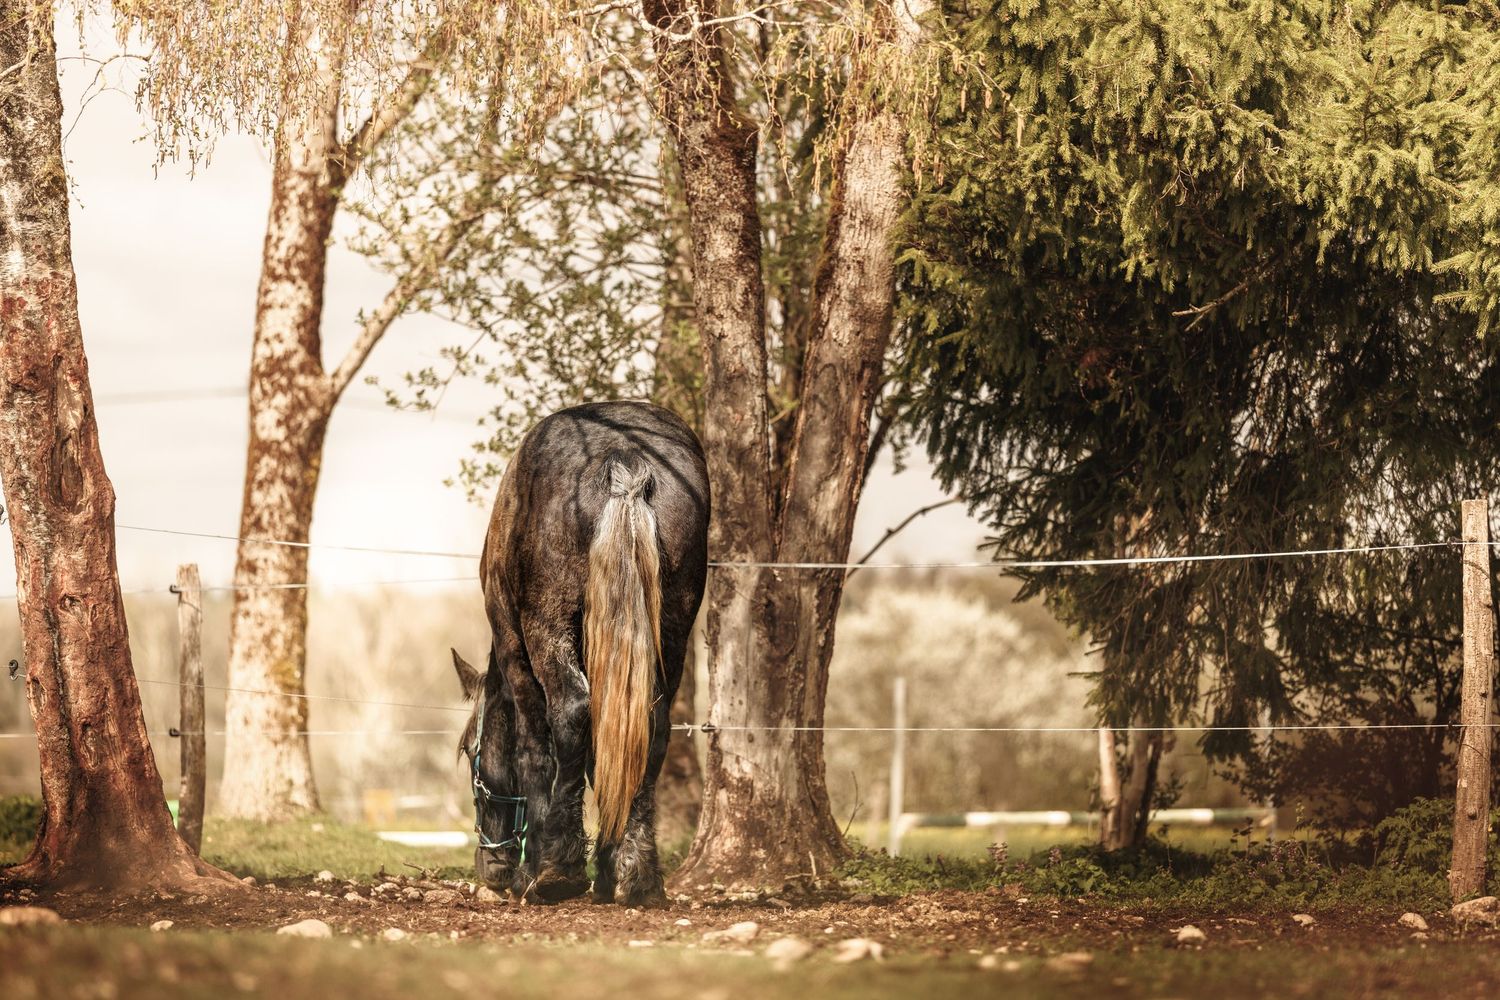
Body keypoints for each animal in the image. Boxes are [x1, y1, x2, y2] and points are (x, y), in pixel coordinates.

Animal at [451, 401, 709, 907]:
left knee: (571, 714)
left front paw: (540, 867)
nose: (490, 866)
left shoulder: (515, 651)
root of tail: (625, 458)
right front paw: (609, 866)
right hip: (669, 633)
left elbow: (537, 749)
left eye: (471, 753)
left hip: (548, 629)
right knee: (650, 728)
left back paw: (557, 867)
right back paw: (638, 875)